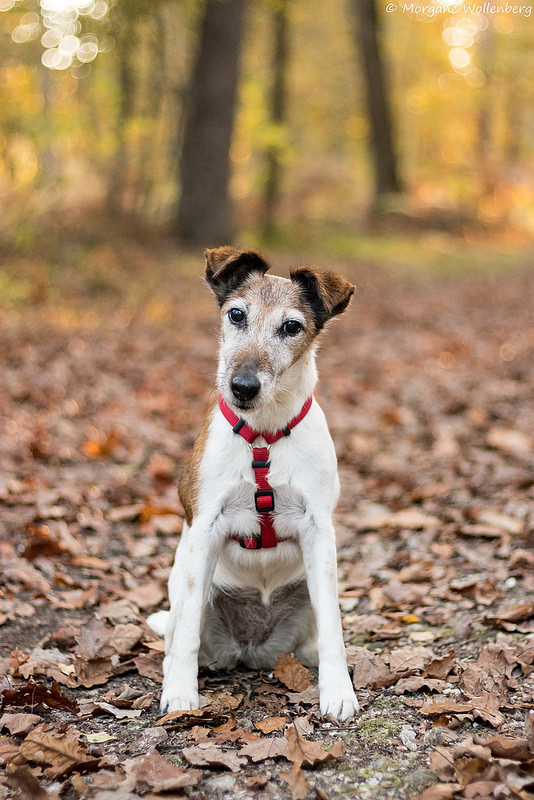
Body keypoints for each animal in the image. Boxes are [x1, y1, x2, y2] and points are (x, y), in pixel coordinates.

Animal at [148, 247, 360, 720]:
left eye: (292, 327)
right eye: (236, 315)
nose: (242, 386)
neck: (263, 436)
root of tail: (250, 649)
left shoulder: (319, 531)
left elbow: (334, 629)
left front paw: (337, 691)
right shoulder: (206, 527)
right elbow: (185, 635)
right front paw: (181, 695)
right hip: (186, 583)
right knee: (178, 635)